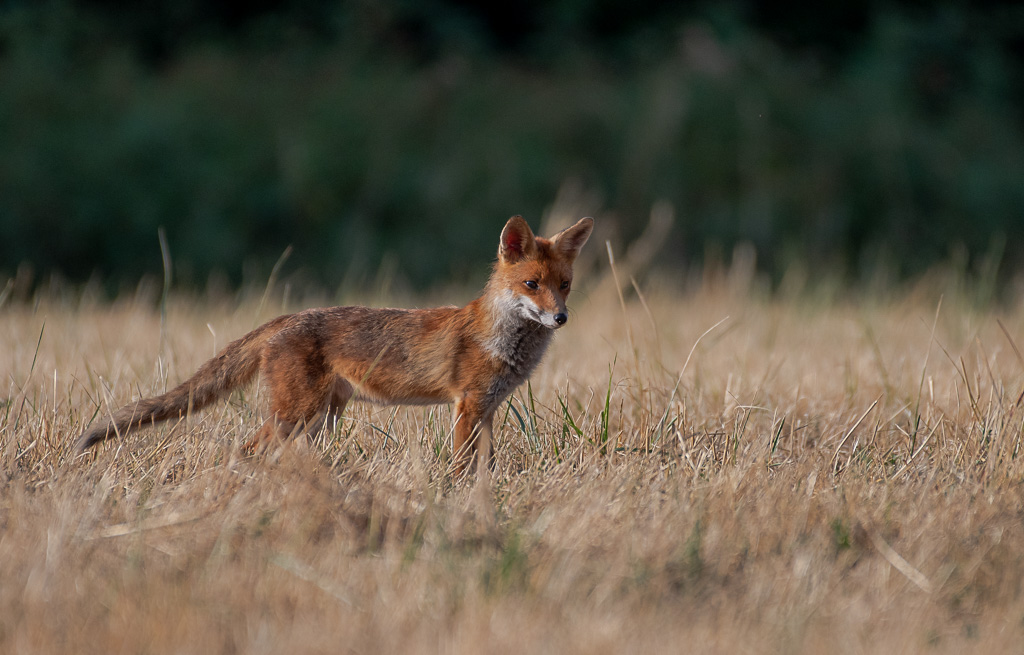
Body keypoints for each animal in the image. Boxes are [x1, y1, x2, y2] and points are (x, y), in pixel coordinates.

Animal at [75, 215, 594, 475]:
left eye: (565, 285)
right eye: (531, 285)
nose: (561, 318)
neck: (503, 338)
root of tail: (286, 317)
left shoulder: (486, 410)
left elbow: (484, 464)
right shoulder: (466, 405)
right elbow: (462, 467)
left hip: (319, 419)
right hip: (296, 416)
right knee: (246, 449)